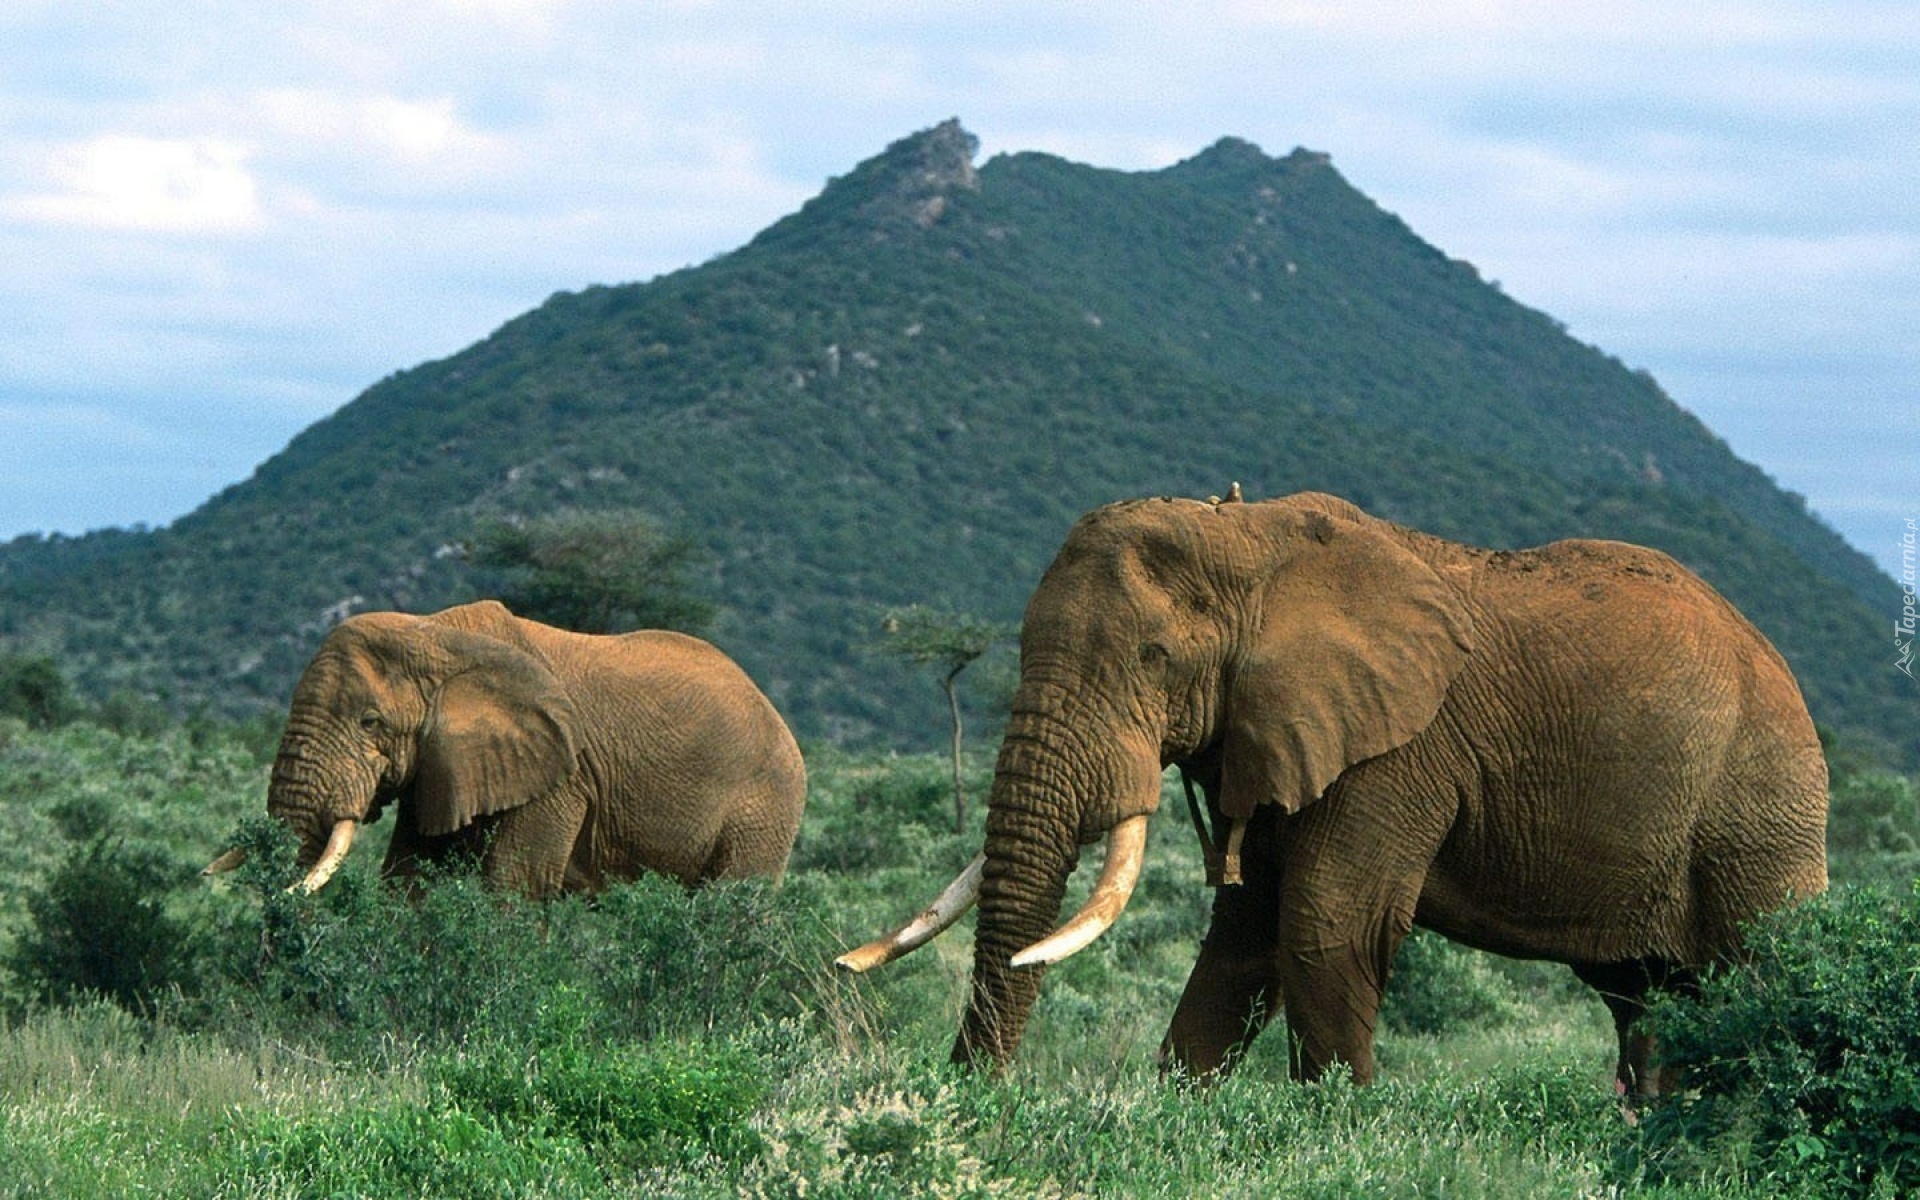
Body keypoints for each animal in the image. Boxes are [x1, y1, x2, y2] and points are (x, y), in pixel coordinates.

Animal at [206, 599, 806, 896]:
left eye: (370, 722)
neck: (435, 635)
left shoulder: (561, 773)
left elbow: (514, 883)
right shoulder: (443, 765)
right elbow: (409, 877)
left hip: (766, 804)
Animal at [839, 490, 1827, 1094]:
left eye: (1153, 658)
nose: (971, 1093)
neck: (1250, 542)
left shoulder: (1398, 748)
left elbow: (1324, 924)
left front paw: (1335, 1129)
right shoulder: (1272, 728)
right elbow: (1244, 938)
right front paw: (1178, 1113)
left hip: (1760, 806)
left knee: (1762, 974)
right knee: (1650, 1001)